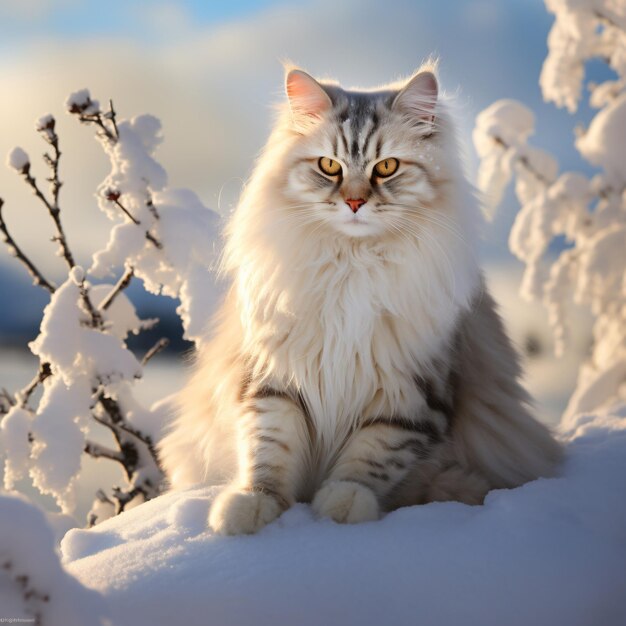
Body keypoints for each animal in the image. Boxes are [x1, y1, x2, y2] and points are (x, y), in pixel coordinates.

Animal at [156, 62, 560, 532]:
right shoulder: (274, 379)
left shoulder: (409, 395)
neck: (352, 265)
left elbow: (371, 459)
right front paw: (252, 506)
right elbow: (268, 452)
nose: (353, 202)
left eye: (387, 167)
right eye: (329, 165)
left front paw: (343, 505)